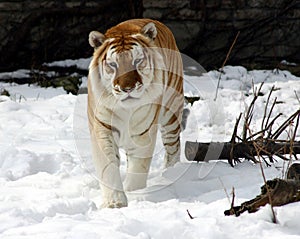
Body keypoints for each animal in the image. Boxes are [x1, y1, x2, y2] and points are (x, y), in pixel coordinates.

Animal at [88, 18, 184, 207]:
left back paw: (171, 174)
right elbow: (108, 167)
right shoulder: (102, 129)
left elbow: (138, 168)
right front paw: (114, 203)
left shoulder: (144, 133)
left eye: (137, 61)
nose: (128, 88)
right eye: (113, 64)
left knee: (173, 147)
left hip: (171, 114)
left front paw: (134, 194)